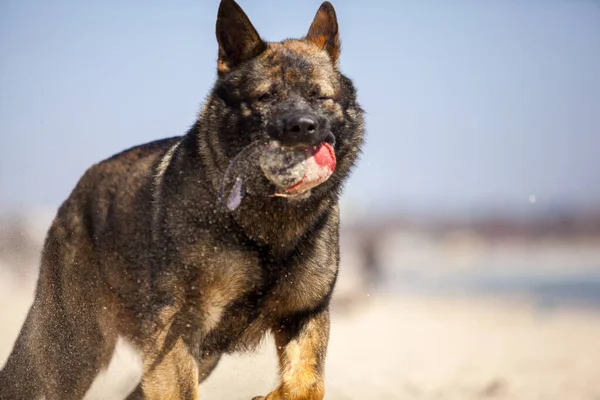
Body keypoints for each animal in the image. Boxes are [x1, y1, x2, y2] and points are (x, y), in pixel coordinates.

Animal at [0, 1, 364, 398]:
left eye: (318, 97)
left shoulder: (302, 316)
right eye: (266, 97)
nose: (303, 127)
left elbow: (306, 384)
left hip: (193, 356)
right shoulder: (179, 326)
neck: (266, 225)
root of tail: (78, 191)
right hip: (74, 348)